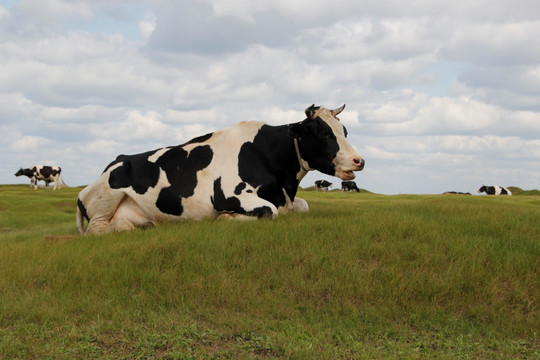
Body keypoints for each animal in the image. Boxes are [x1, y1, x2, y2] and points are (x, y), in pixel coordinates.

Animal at [77, 102, 368, 235]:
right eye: (323, 133)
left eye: (344, 131)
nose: (359, 160)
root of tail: (117, 158)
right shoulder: (229, 194)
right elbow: (269, 211)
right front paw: (226, 218)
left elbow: (303, 206)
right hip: (108, 192)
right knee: (97, 229)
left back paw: (146, 224)